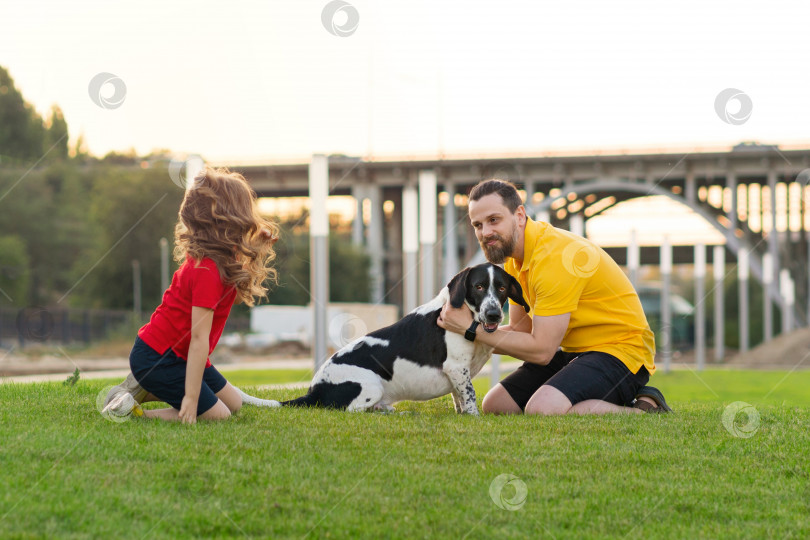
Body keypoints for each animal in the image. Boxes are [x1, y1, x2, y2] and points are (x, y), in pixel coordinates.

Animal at [262, 264, 532, 416]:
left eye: (501, 288)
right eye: (478, 286)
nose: (494, 314)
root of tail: (313, 391)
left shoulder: (457, 373)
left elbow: (459, 396)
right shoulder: (457, 367)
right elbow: (470, 395)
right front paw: (473, 416)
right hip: (371, 386)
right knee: (354, 411)